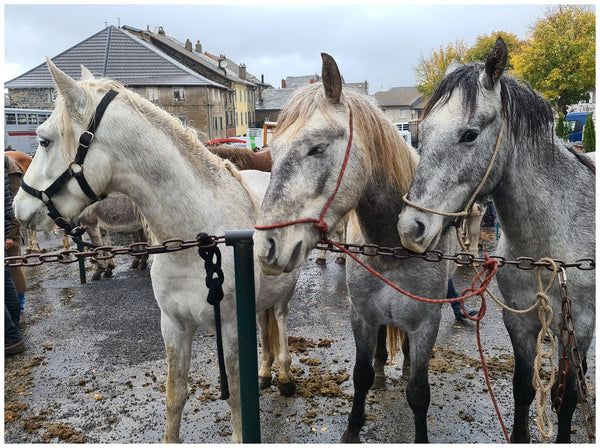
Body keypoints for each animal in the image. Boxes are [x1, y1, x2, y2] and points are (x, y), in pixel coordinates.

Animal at [15, 61, 300, 442]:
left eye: (44, 140)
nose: (19, 207)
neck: (197, 246)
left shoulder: (229, 328)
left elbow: (238, 397)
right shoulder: (174, 326)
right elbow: (175, 393)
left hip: (284, 294)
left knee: (279, 323)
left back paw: (283, 375)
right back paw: (266, 372)